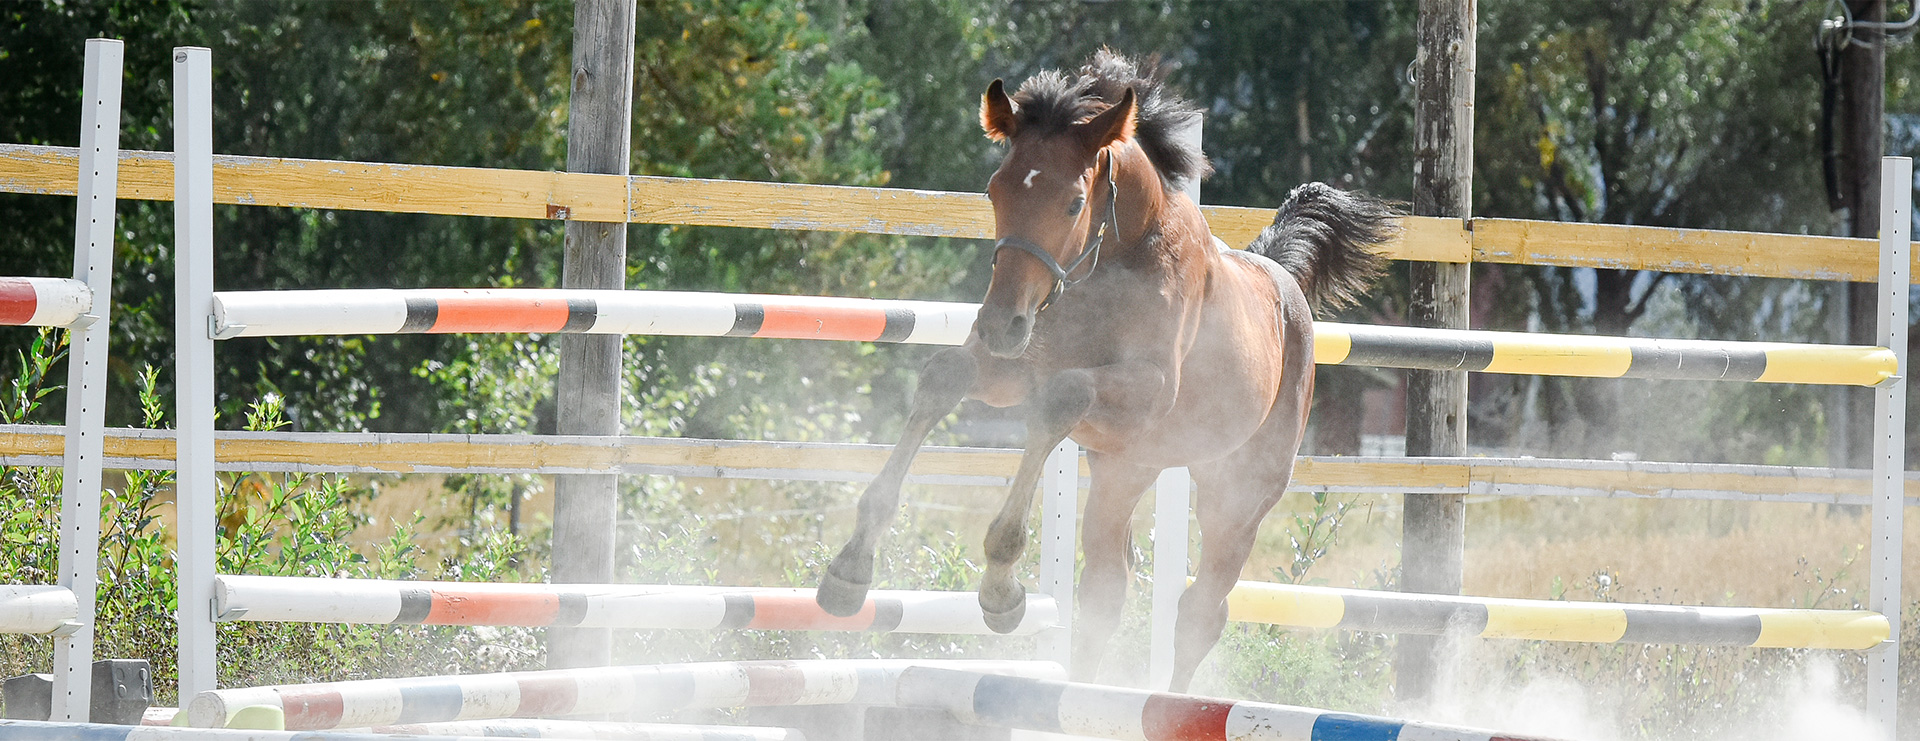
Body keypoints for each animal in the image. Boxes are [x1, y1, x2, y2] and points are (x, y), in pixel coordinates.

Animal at [815, 50, 1397, 691]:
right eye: (994, 191)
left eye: (1074, 203)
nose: (999, 325)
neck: (1113, 261)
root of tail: (1283, 280)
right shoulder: (1014, 370)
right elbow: (946, 376)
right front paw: (849, 568)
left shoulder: (1142, 391)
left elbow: (1061, 399)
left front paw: (1001, 584)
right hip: (1125, 470)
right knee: (1105, 591)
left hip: (1237, 493)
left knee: (1201, 611)